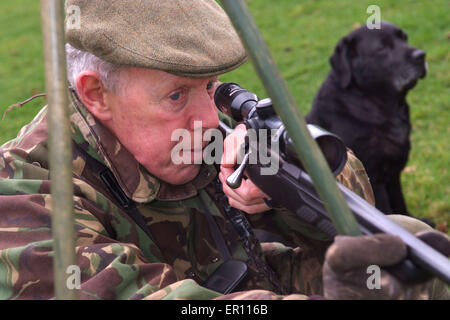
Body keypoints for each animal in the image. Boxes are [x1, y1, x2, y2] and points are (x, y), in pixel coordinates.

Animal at [308, 21, 428, 219]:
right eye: (382, 48)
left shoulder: (393, 174)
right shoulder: (374, 177)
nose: (421, 55)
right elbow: (386, 210)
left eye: (405, 38)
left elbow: (399, 203)